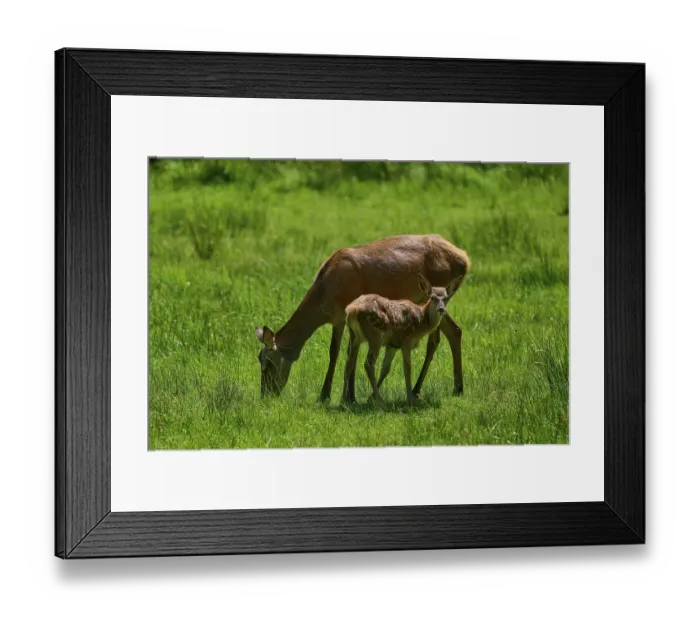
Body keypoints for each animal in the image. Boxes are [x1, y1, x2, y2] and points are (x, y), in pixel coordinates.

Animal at [344, 274, 462, 403]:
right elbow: (407, 368)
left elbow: (385, 369)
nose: (441, 309)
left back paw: (343, 400)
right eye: (432, 298)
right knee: (368, 364)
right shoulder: (406, 341)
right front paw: (410, 398)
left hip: (354, 336)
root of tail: (352, 310)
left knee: (349, 363)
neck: (422, 321)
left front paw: (371, 397)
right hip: (375, 336)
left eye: (445, 298)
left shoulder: (393, 345)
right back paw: (380, 400)